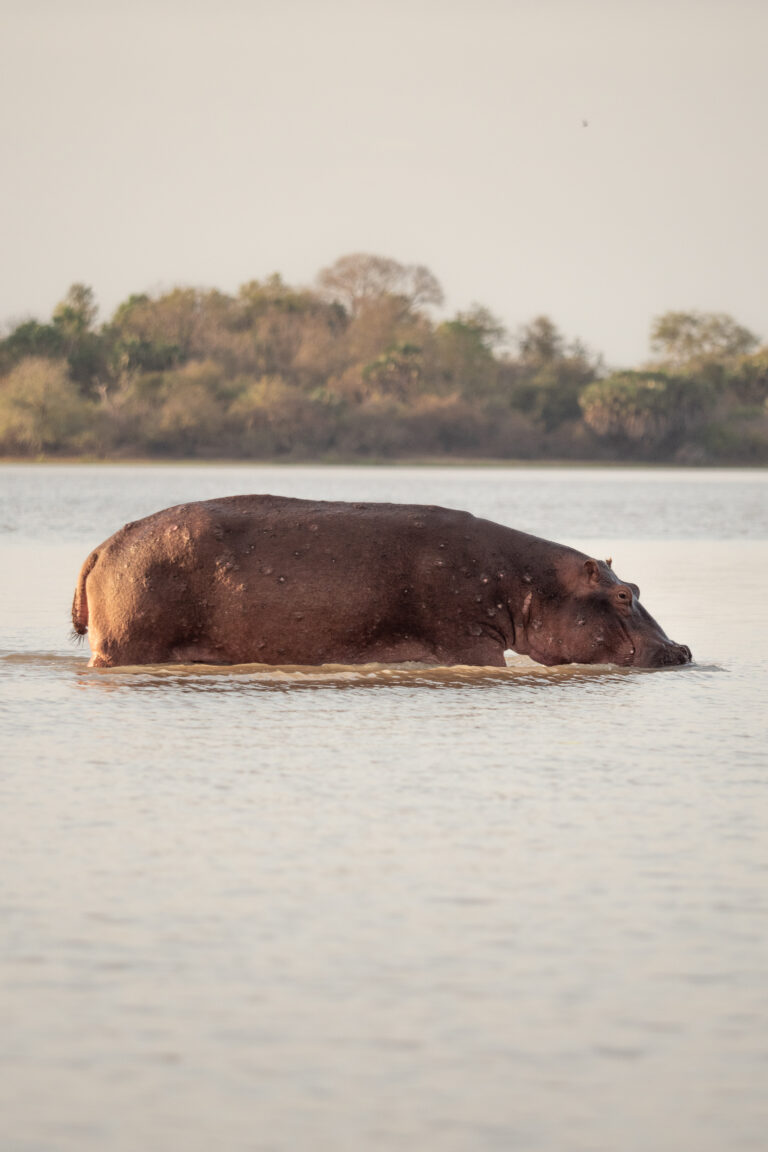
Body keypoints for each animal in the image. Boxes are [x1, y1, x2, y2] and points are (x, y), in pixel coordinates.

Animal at [71, 493, 695, 672]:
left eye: (638, 587)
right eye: (621, 594)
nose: (683, 649)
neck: (531, 582)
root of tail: (101, 546)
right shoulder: (470, 642)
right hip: (127, 641)